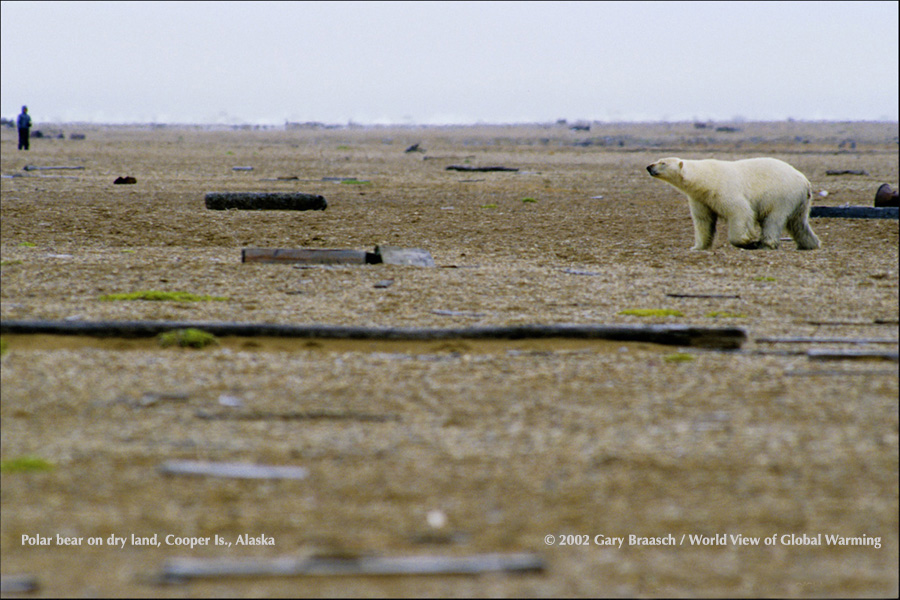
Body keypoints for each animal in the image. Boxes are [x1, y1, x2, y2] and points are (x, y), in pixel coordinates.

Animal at [648, 157, 824, 251]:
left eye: (662, 163)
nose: (649, 166)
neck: (705, 178)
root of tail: (805, 181)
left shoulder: (724, 189)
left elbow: (740, 211)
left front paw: (747, 241)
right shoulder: (700, 198)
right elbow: (703, 221)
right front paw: (697, 247)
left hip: (782, 196)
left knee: (773, 219)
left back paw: (764, 244)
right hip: (800, 201)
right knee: (798, 223)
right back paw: (809, 244)